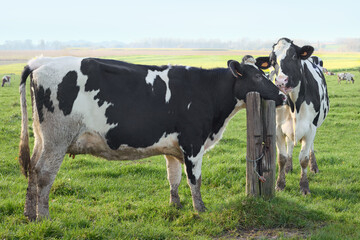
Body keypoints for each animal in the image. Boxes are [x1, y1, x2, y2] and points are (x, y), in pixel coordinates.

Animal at [19, 55, 286, 220]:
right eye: (259, 77)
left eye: (265, 74)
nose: (282, 96)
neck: (208, 92)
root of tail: (41, 62)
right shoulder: (192, 144)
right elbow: (195, 180)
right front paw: (200, 209)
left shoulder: (173, 148)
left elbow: (174, 178)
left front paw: (176, 206)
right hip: (57, 140)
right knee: (44, 174)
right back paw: (44, 217)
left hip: (42, 138)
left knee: (32, 168)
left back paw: (29, 214)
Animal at [258, 37, 330, 195]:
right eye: (272, 61)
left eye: (294, 56)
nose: (280, 81)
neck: (294, 104)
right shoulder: (277, 127)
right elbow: (281, 158)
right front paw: (280, 184)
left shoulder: (311, 128)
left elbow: (303, 158)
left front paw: (304, 186)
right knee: (290, 144)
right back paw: (289, 167)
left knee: (310, 147)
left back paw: (314, 166)